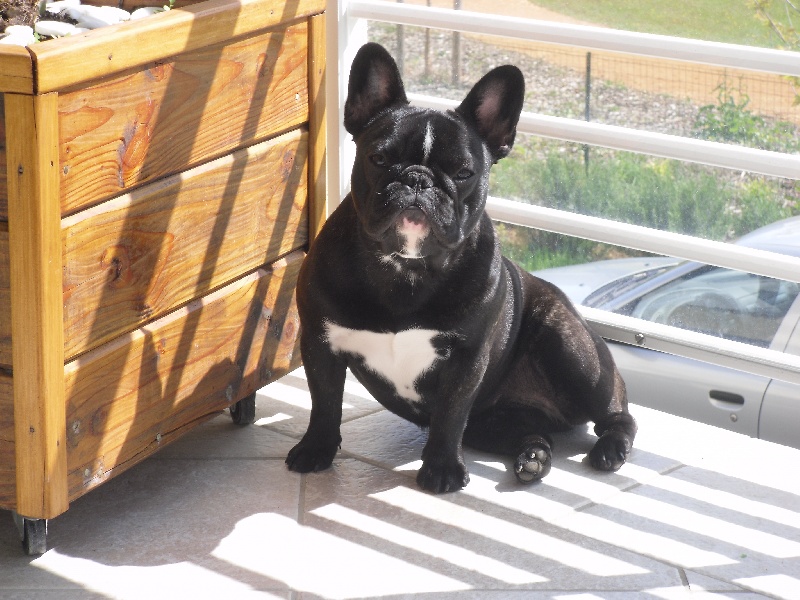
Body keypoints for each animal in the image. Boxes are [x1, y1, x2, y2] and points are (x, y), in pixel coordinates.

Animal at [286, 43, 636, 493]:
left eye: (464, 172)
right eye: (378, 158)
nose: (417, 179)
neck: (406, 268)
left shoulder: (467, 358)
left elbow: (450, 415)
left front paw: (441, 470)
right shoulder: (321, 342)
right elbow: (325, 402)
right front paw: (316, 448)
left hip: (572, 351)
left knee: (618, 412)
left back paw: (609, 450)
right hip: (492, 425)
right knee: (533, 433)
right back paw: (533, 458)